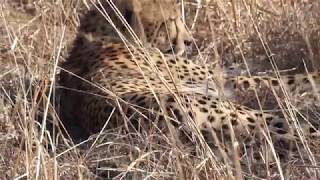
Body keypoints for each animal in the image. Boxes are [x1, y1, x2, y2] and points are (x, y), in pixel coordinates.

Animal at [58, 0, 318, 173]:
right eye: (172, 20)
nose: (190, 41)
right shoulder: (224, 83)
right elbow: (280, 79)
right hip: (250, 116)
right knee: (302, 132)